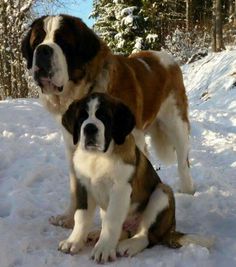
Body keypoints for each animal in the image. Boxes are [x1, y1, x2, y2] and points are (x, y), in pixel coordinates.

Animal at [20, 14, 194, 229]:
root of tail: (165, 57)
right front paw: (69, 217)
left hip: (176, 123)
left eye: (62, 42)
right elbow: (75, 185)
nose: (43, 50)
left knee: (183, 161)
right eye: (37, 41)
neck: (84, 89)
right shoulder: (73, 146)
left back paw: (188, 192)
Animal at [58, 93, 212, 264]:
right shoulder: (83, 187)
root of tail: (170, 230)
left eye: (104, 117)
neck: (97, 157)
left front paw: (103, 249)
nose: (90, 128)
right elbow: (81, 216)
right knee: (123, 230)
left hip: (162, 192)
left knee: (146, 236)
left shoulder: (120, 189)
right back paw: (97, 234)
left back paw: (129, 245)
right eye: (81, 117)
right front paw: (74, 241)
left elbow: (112, 220)